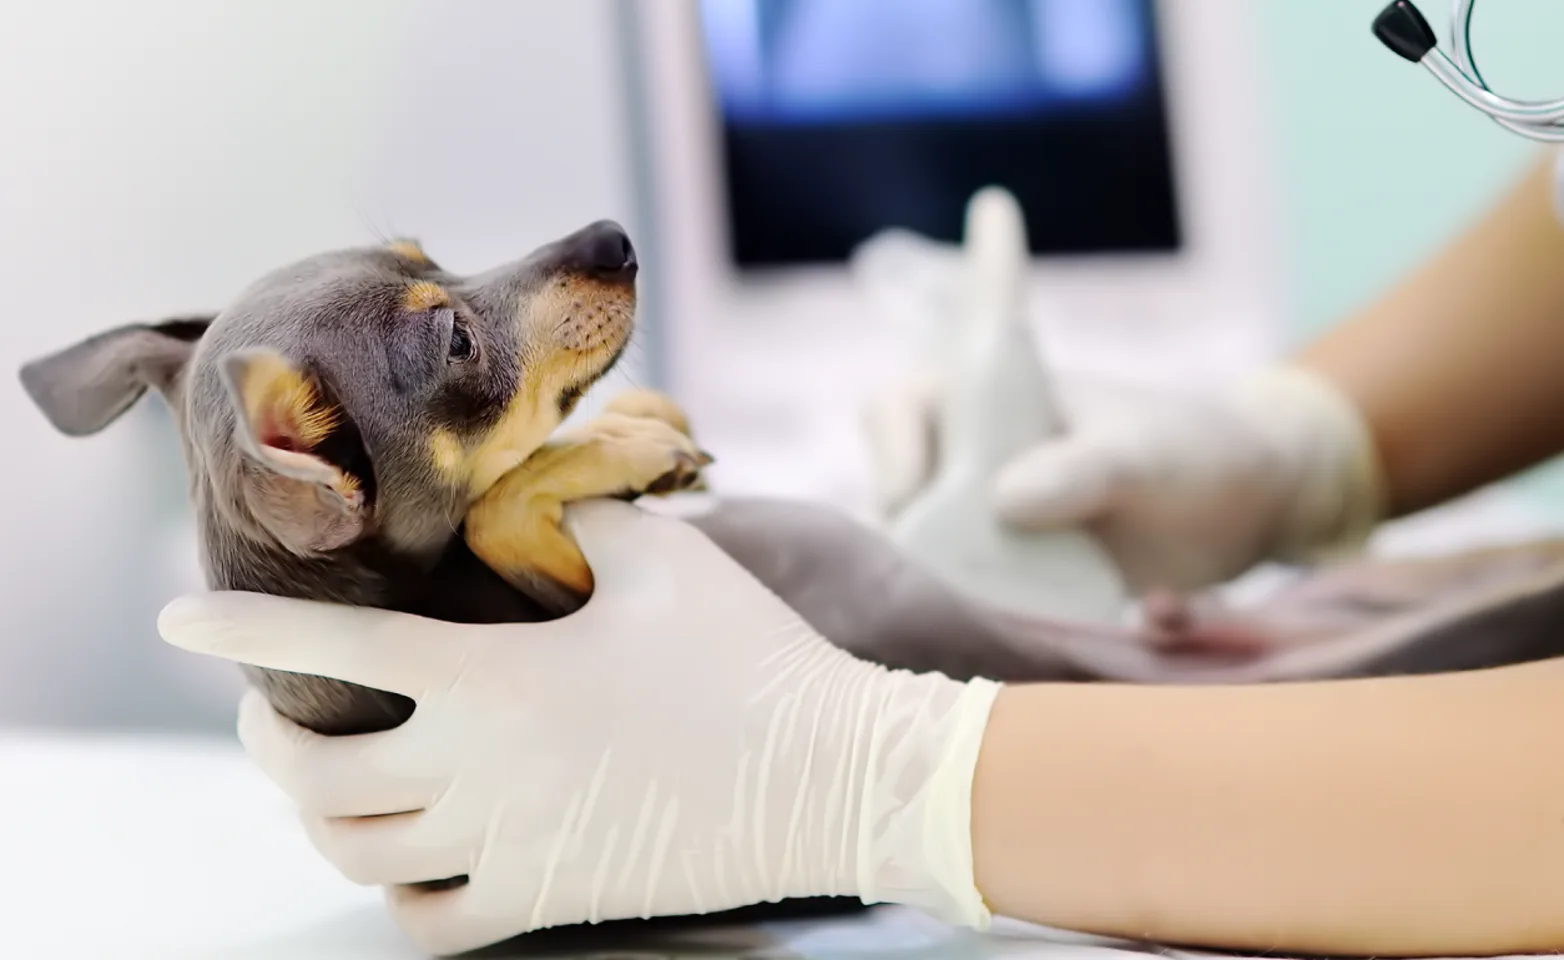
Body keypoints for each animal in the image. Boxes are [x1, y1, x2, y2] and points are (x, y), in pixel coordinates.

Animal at [16, 222, 716, 741]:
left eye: (429, 256)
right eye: (458, 343)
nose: (610, 237)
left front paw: (641, 418)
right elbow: (497, 510)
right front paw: (632, 445)